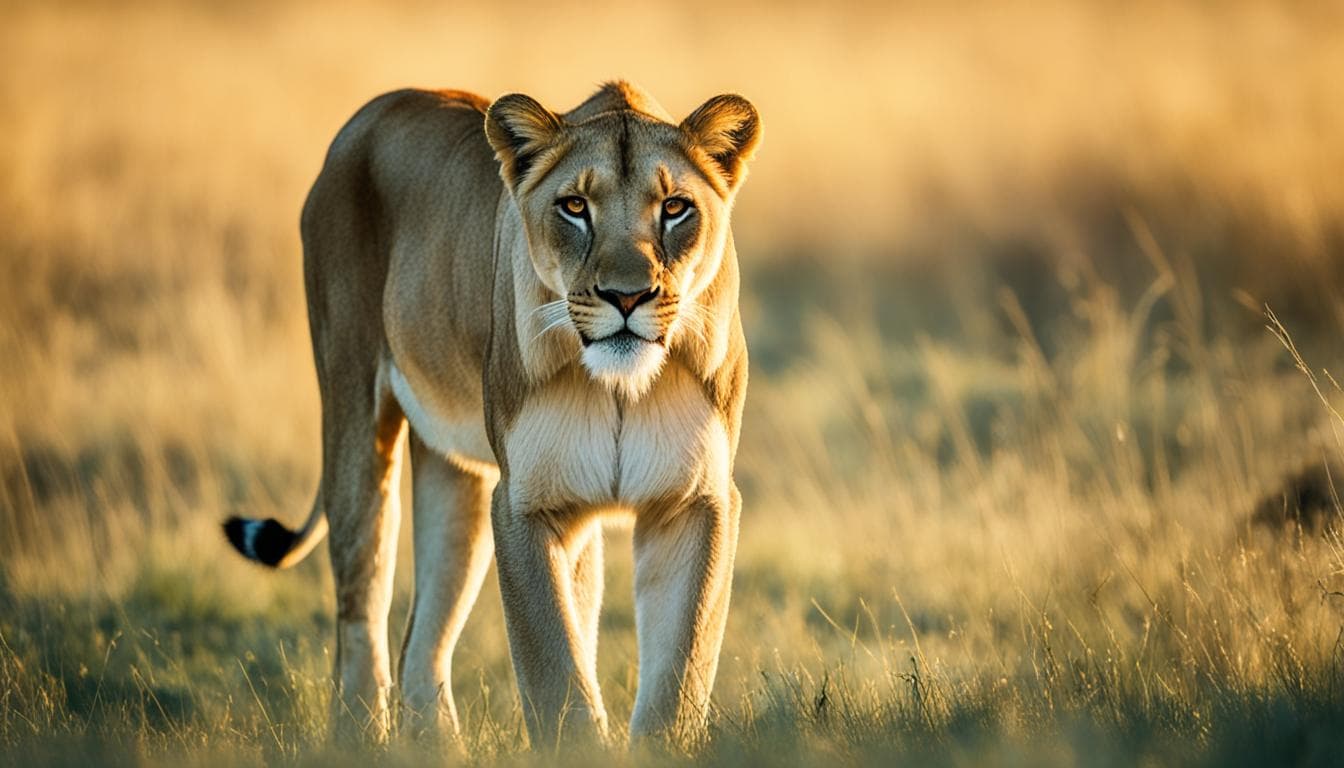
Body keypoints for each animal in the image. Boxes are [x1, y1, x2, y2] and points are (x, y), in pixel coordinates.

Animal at [223, 81, 760, 749]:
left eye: (676, 208)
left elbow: (679, 673)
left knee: (422, 643)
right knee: (360, 613)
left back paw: (436, 750)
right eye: (575, 206)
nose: (626, 296)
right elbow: (555, 673)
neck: (620, 387)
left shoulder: (694, 502)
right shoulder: (527, 503)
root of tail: (369, 112)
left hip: (459, 478)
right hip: (353, 423)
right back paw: (358, 741)